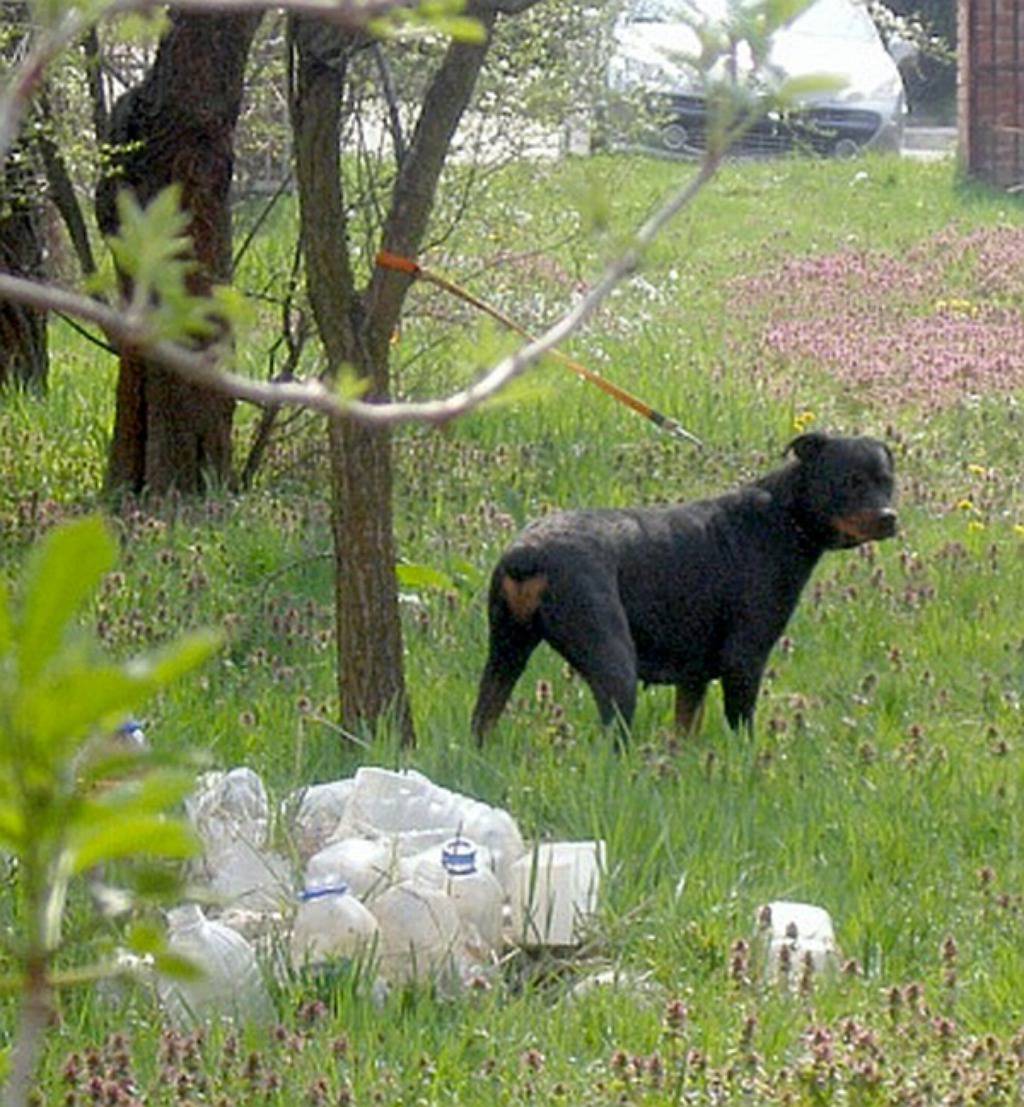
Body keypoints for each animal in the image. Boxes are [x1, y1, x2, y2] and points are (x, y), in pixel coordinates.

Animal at [471, 431, 894, 743]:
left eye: (889, 483)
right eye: (850, 481)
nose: (889, 517)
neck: (784, 515)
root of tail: (526, 556)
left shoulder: (694, 676)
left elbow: (685, 730)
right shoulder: (745, 659)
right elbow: (743, 732)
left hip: (506, 653)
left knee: (483, 718)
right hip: (614, 664)